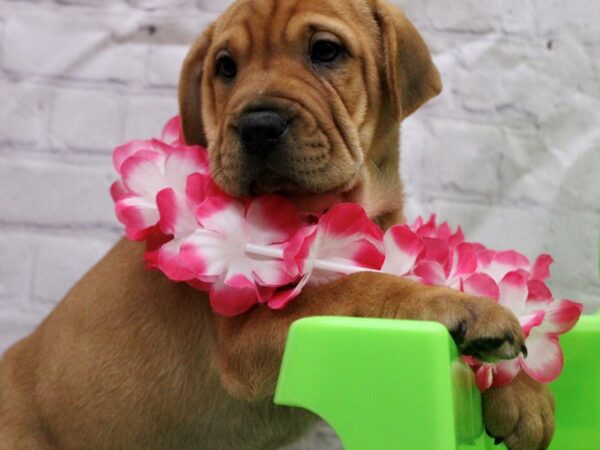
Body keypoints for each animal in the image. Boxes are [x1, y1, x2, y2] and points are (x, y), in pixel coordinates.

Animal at [0, 0, 552, 450]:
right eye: (225, 67)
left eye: (325, 51)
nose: (258, 126)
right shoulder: (247, 338)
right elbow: (359, 285)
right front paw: (463, 306)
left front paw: (522, 390)